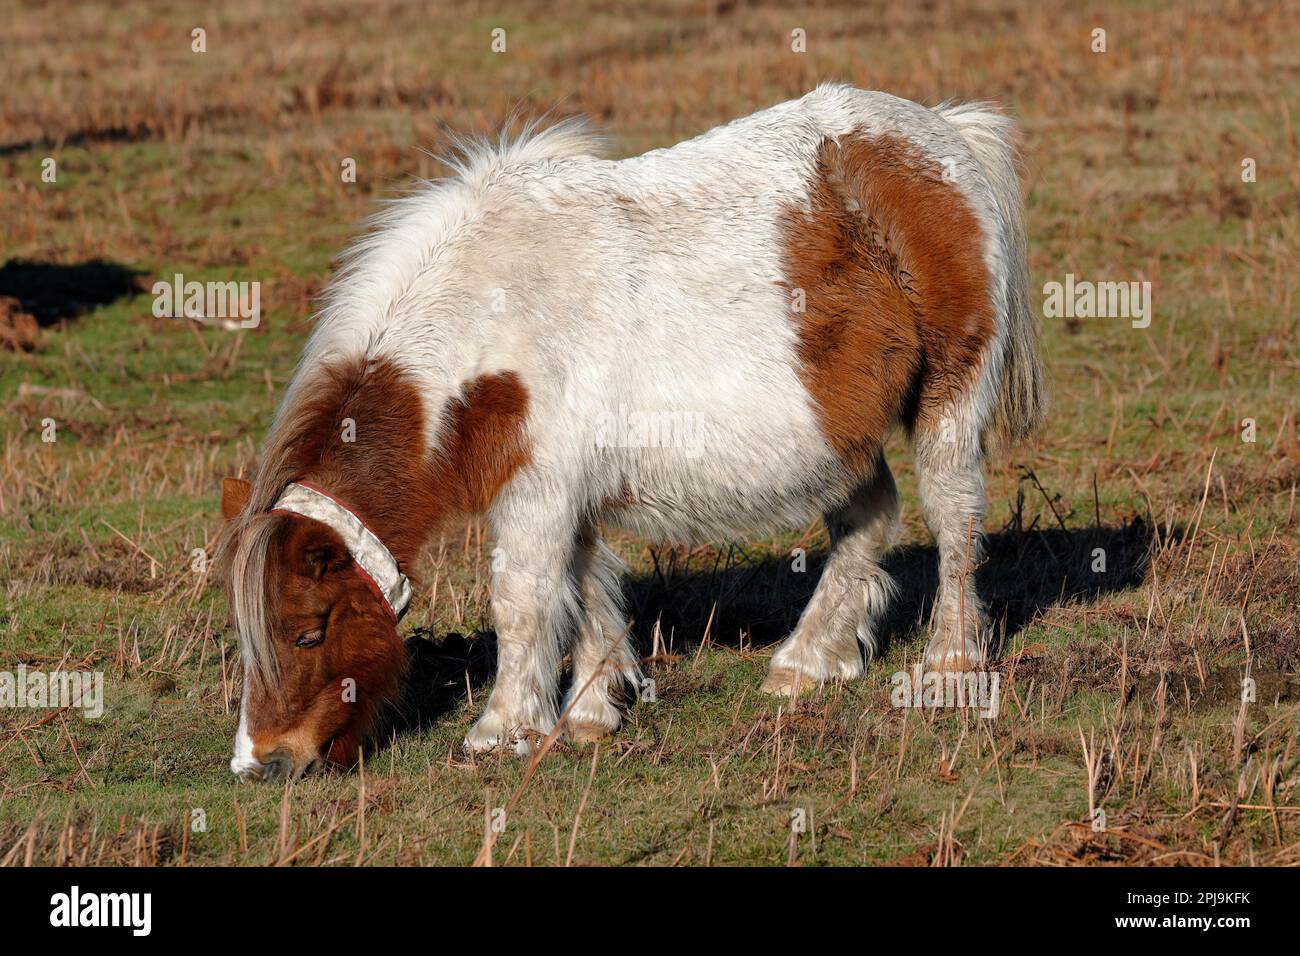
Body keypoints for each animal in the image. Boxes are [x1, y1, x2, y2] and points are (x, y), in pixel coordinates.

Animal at [219, 83, 1044, 781]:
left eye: (306, 632)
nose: (263, 762)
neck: (489, 315)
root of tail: (945, 132)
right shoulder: (570, 493)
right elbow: (584, 590)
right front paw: (592, 710)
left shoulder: (538, 494)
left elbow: (523, 600)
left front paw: (502, 729)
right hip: (837, 436)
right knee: (869, 519)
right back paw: (806, 663)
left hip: (947, 404)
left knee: (953, 521)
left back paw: (949, 668)